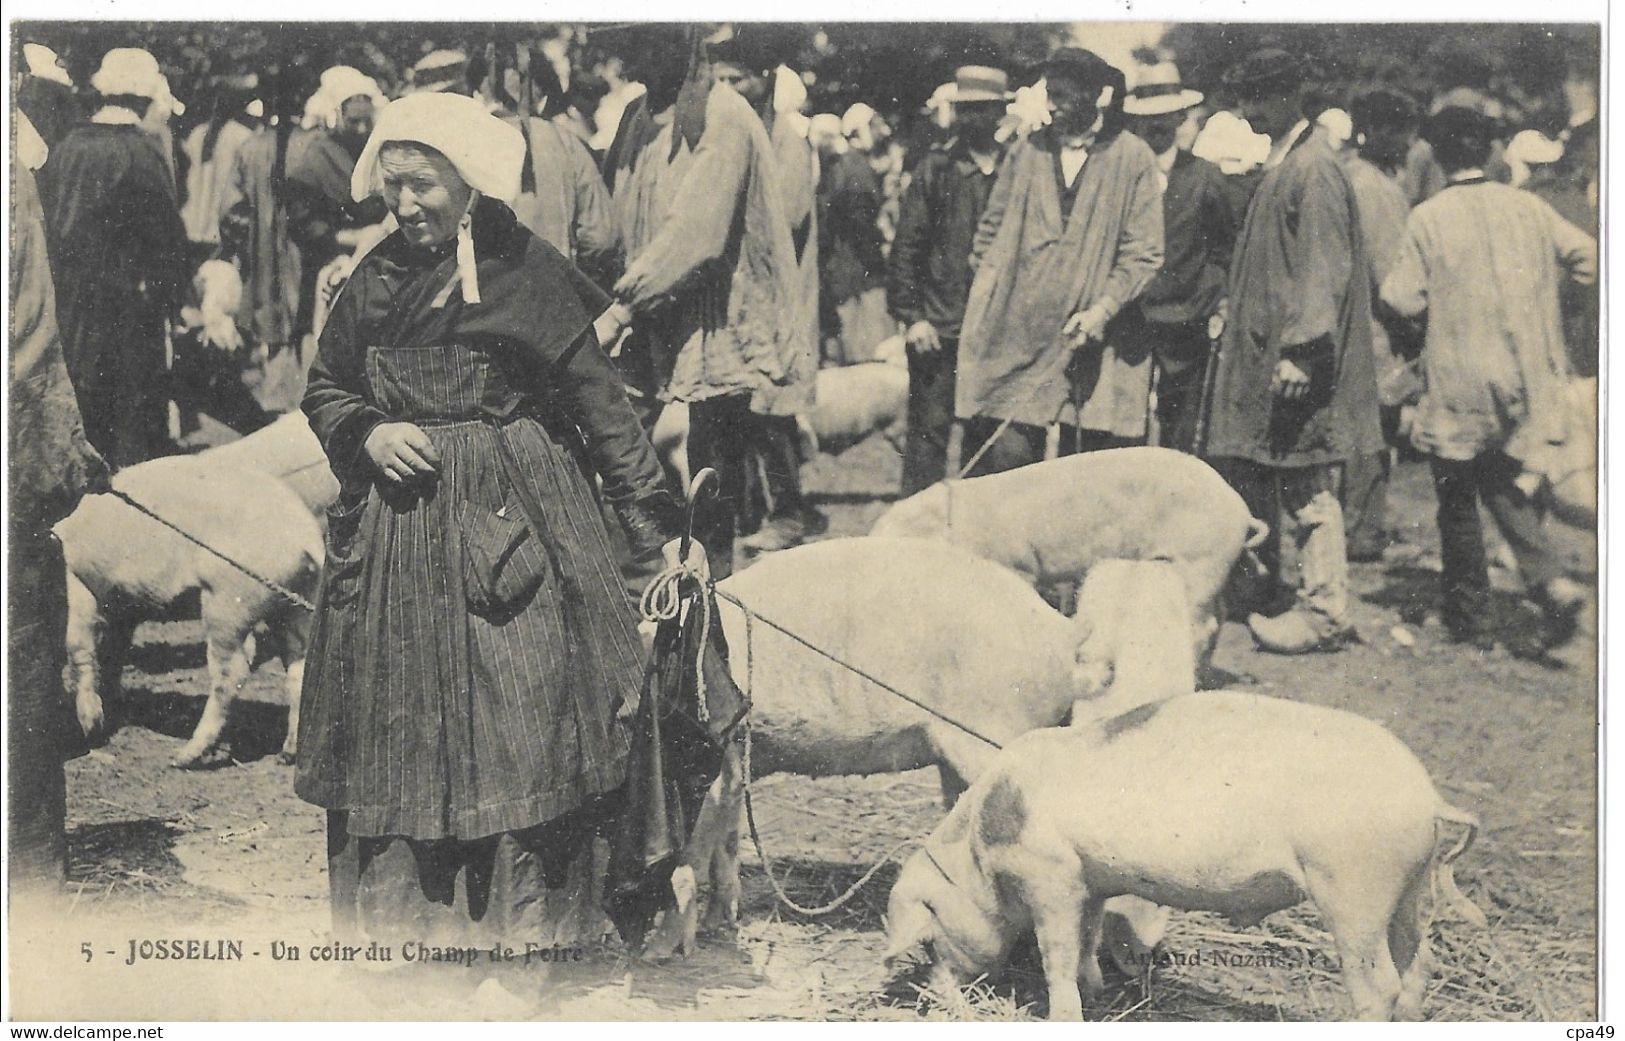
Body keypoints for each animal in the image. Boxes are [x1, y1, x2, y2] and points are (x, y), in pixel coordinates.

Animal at [53, 451, 323, 763]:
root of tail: (308, 536)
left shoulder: (78, 579)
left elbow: (78, 646)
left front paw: (91, 726)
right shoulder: (124, 607)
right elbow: (113, 654)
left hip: (228, 602)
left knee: (233, 671)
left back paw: (183, 757)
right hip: (295, 605)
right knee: (299, 667)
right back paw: (287, 753)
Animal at [643, 539, 1144, 961]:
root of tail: (1064, 631)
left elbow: (690, 856)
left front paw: (659, 953)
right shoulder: (737, 760)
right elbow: (726, 843)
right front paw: (719, 924)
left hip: (995, 730)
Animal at [871, 444, 1274, 656]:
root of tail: (1241, 510)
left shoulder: (1020, 565)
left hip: (1201, 562)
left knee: (1204, 624)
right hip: (1211, 569)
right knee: (1219, 618)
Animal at [890, 695, 1488, 1019]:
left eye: (928, 940)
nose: (934, 996)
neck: (979, 852)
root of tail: (1425, 796)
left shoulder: (1051, 876)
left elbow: (1055, 954)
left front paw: (1066, 1012)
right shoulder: (1090, 880)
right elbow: (1088, 935)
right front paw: (1097, 988)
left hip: (1354, 888)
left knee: (1380, 983)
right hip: (1409, 888)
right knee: (1418, 966)